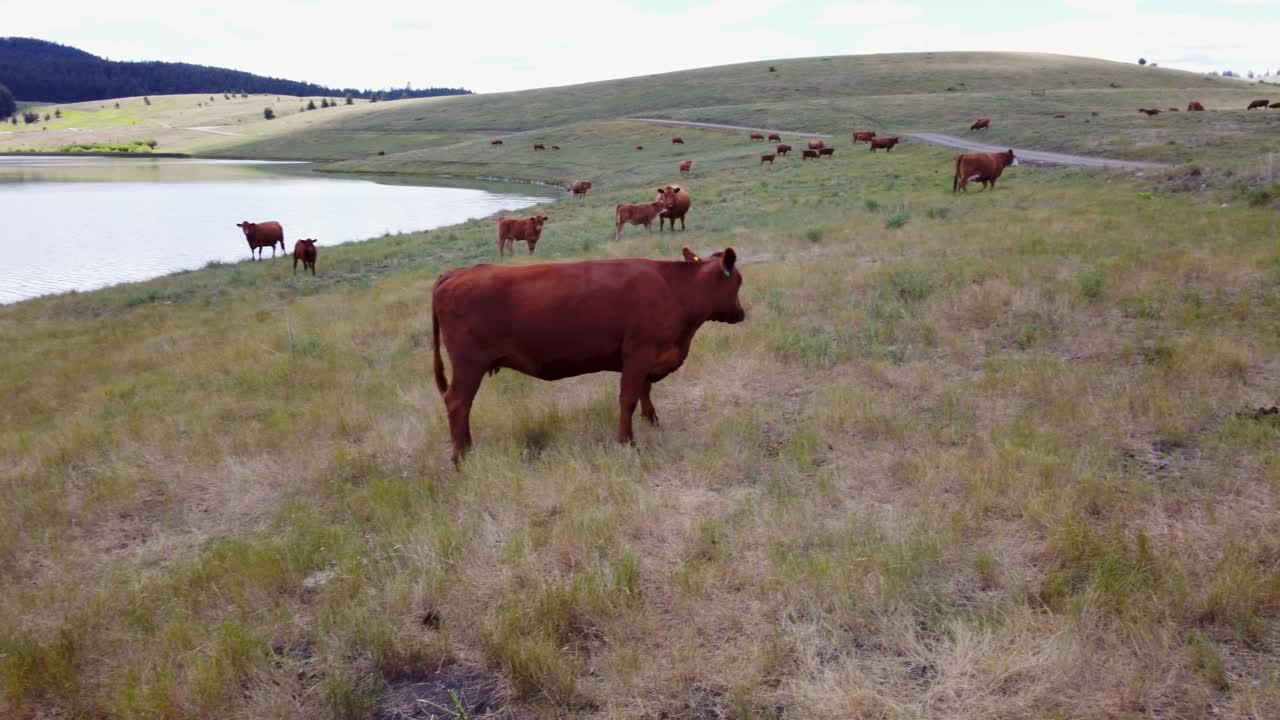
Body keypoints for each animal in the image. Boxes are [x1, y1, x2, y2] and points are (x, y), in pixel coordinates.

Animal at [430, 247, 746, 463]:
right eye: (738, 282)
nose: (741, 313)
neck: (673, 288)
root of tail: (455, 273)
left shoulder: (645, 357)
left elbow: (645, 390)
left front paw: (652, 421)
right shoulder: (638, 352)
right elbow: (628, 398)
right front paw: (627, 442)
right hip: (469, 365)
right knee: (458, 403)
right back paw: (462, 457)